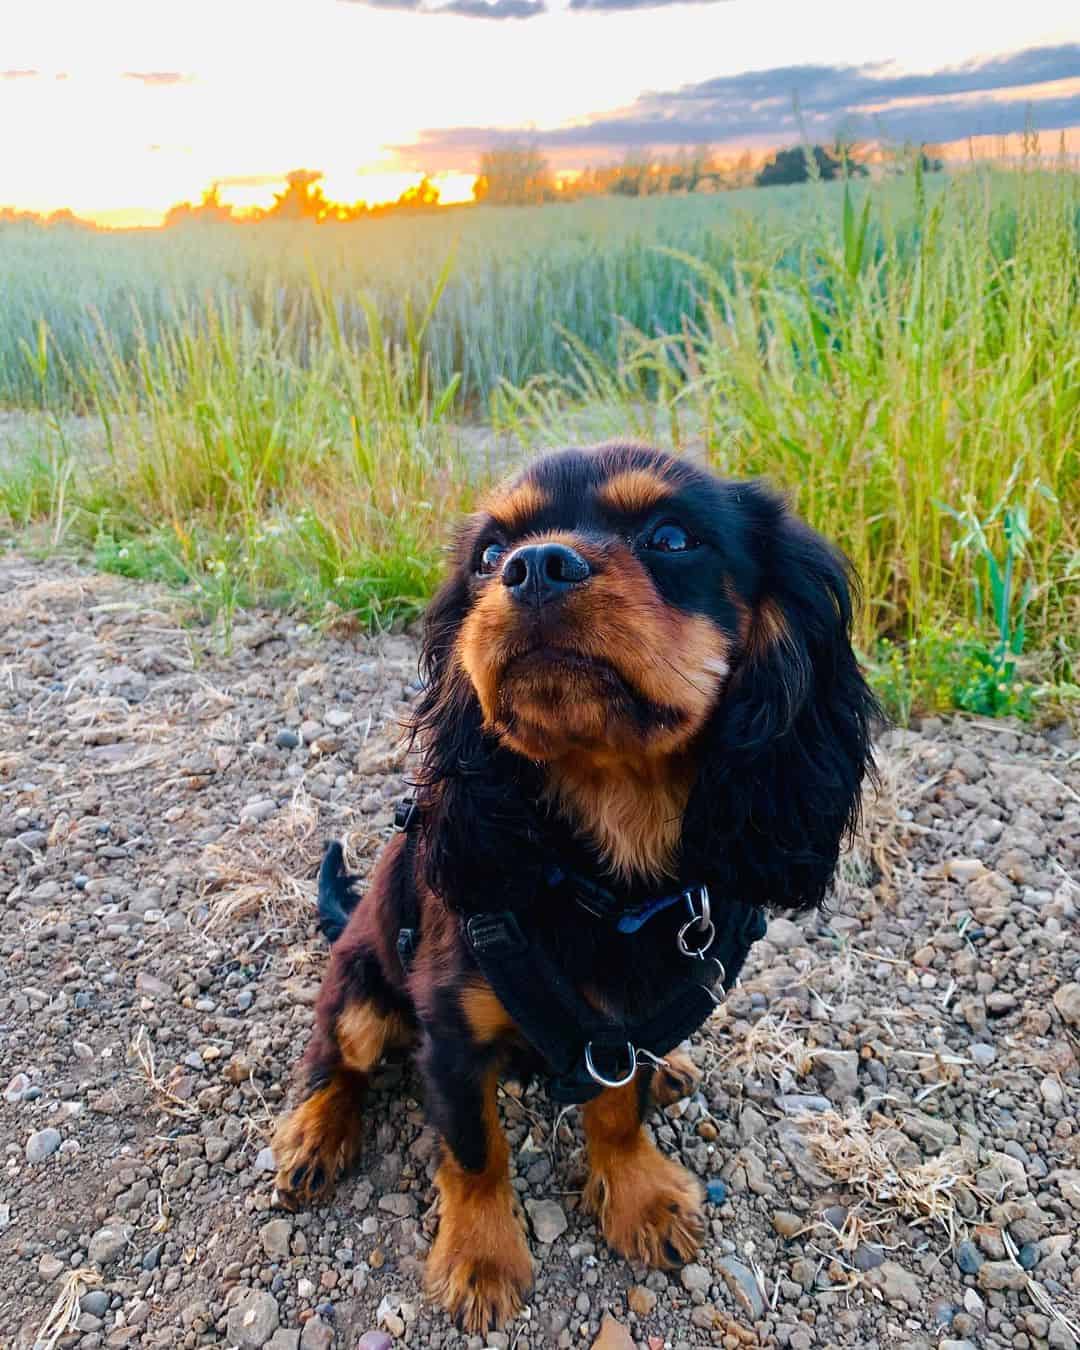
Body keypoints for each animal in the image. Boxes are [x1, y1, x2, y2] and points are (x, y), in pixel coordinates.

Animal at [272, 442, 874, 1328]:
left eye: (671, 537)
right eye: (490, 555)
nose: (534, 567)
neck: (606, 880)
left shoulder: (622, 1034)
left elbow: (617, 1109)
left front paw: (637, 1193)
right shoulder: (451, 1035)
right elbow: (475, 1151)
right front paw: (481, 1257)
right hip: (358, 991)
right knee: (334, 1058)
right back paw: (315, 1132)